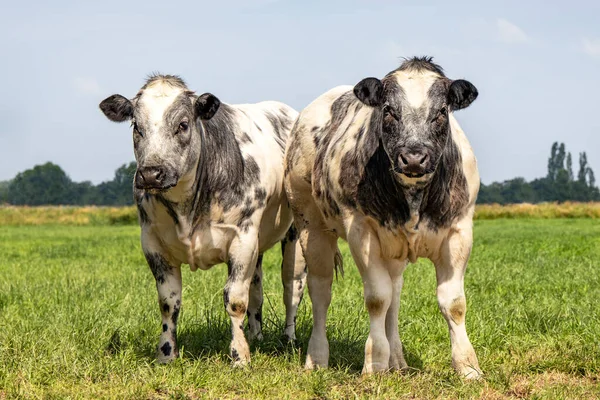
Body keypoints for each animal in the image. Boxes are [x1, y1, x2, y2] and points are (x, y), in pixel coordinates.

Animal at [99, 75, 308, 366]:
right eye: (136, 126)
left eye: (183, 124)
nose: (151, 173)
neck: (187, 210)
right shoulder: (152, 243)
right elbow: (169, 302)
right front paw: (166, 354)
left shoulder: (242, 239)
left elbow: (235, 300)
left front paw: (239, 356)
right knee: (257, 289)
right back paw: (255, 336)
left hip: (294, 235)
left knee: (292, 287)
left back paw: (289, 339)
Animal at [284, 57, 482, 378]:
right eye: (388, 110)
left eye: (442, 112)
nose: (413, 158)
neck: (413, 195)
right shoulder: (361, 232)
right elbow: (377, 299)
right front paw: (375, 363)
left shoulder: (459, 231)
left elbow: (453, 303)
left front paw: (468, 367)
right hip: (310, 227)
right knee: (320, 291)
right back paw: (317, 358)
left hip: (394, 249)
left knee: (395, 295)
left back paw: (397, 361)